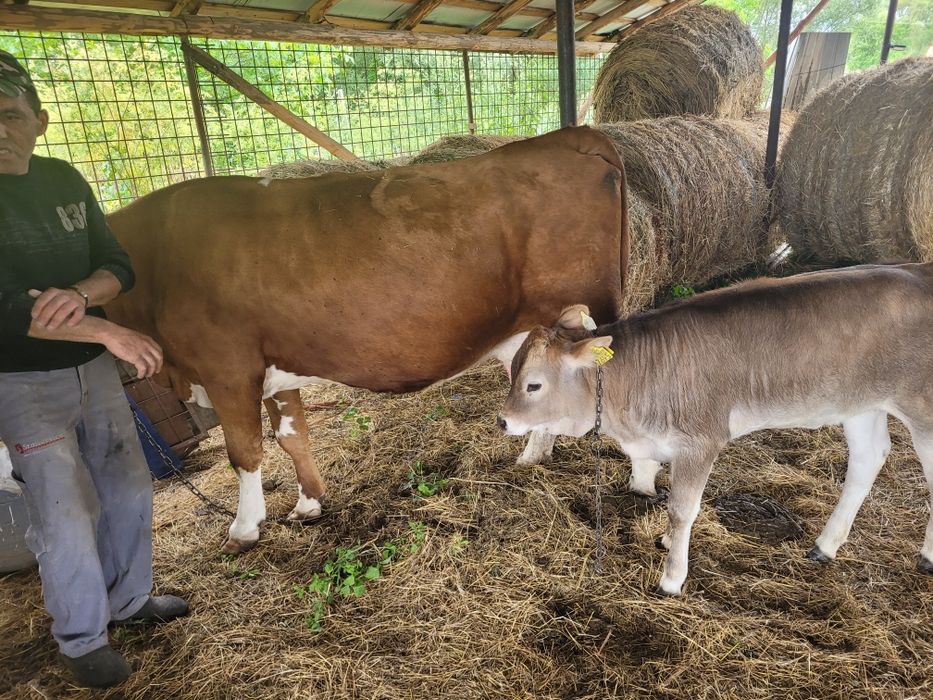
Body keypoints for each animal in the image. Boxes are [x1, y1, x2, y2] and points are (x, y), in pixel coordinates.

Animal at [104, 127, 629, 554]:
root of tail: (566, 136)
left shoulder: (226, 369)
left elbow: (244, 453)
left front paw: (244, 528)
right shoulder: (275, 365)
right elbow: (292, 436)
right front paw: (309, 503)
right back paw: (531, 457)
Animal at [496, 263, 933, 596]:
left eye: (533, 385)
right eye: (512, 368)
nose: (503, 419)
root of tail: (919, 270)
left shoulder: (700, 441)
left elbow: (681, 509)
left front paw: (672, 578)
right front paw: (668, 543)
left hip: (921, 407)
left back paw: (926, 556)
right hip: (861, 404)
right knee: (867, 459)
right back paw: (825, 546)